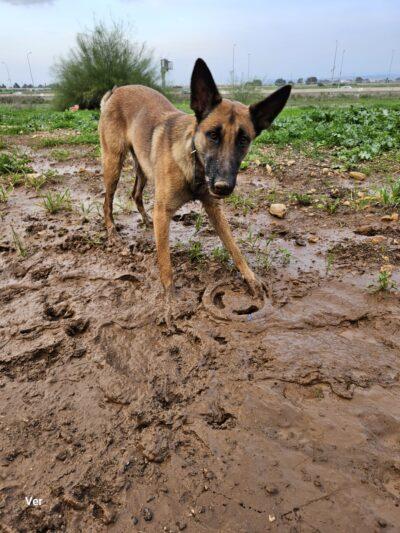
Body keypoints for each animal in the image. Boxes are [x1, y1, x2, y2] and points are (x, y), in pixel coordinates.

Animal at [98, 60, 290, 312]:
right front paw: (170, 301)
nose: (223, 187)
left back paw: (146, 220)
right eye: (213, 135)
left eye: (243, 139)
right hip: (113, 163)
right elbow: (166, 263)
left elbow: (234, 247)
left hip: (143, 167)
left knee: (135, 193)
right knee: (107, 202)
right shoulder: (164, 211)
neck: (195, 166)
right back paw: (112, 232)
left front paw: (251, 278)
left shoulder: (214, 208)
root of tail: (116, 91)